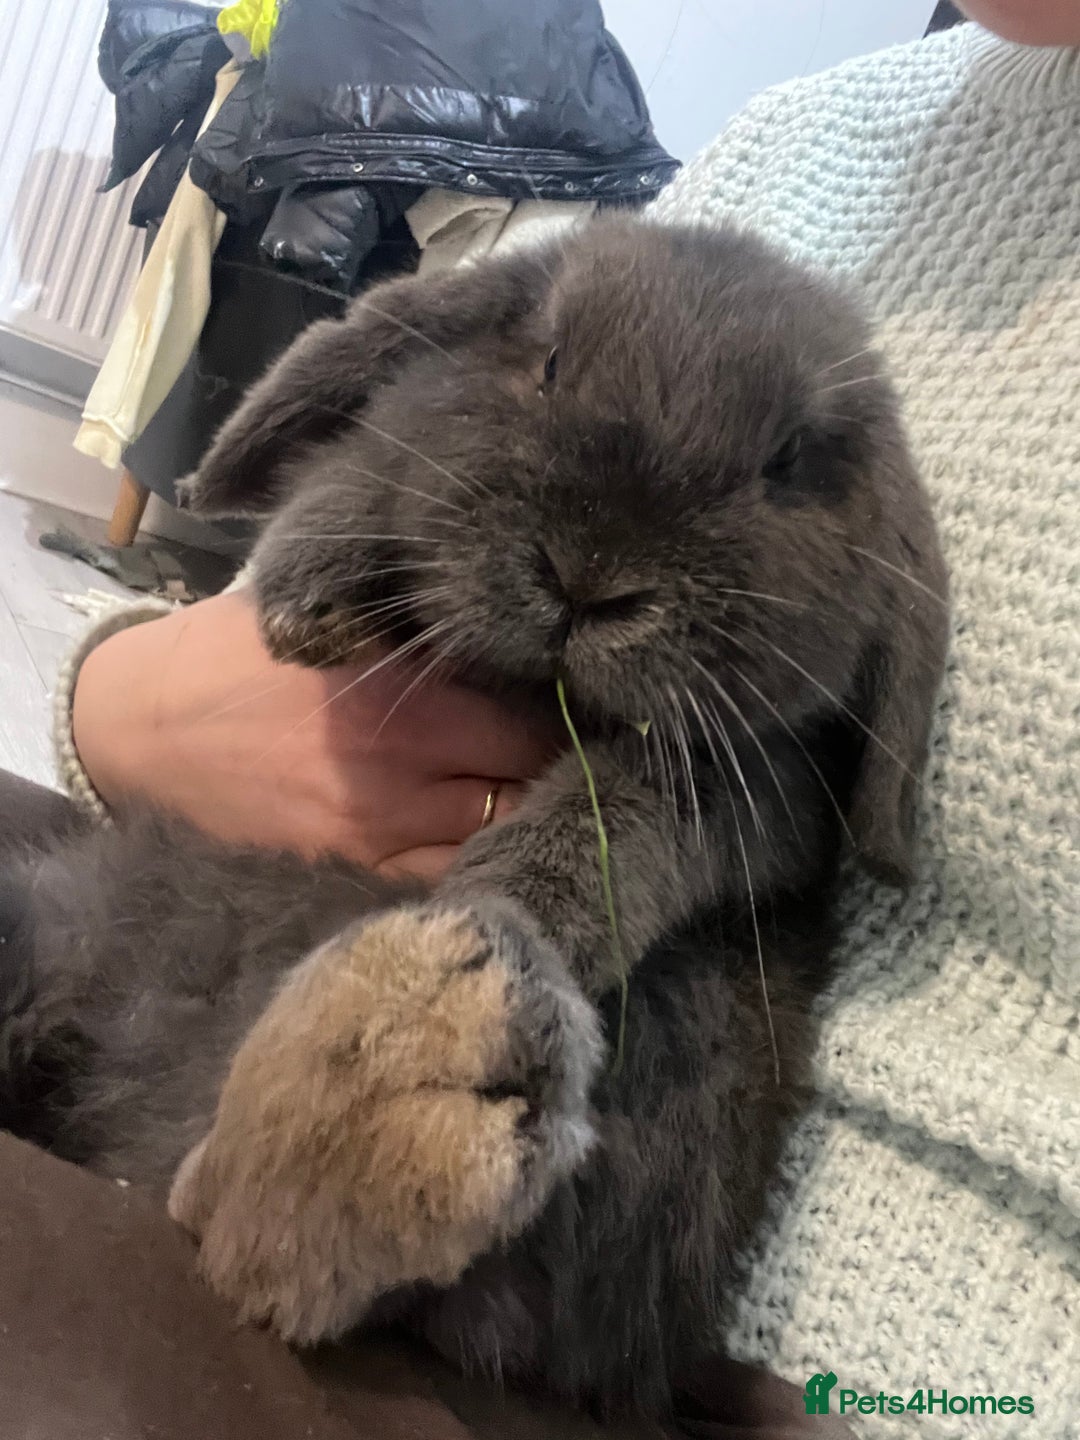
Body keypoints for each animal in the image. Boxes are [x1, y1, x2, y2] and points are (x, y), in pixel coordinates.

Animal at [0, 217, 949, 1418]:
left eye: (787, 463)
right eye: (546, 361)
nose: (591, 578)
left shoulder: (760, 778)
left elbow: (622, 817)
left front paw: (514, 900)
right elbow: (368, 457)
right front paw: (308, 598)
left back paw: (408, 1041)